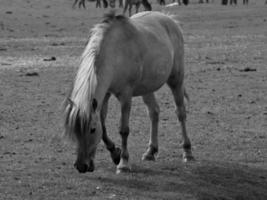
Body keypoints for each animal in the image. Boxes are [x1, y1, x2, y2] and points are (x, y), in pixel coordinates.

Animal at [65, 10, 195, 173]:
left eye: (92, 130)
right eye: (74, 130)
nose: (81, 166)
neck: (115, 53)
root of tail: (169, 19)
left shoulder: (125, 96)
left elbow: (123, 129)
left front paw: (123, 163)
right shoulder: (105, 94)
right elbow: (104, 126)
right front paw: (115, 153)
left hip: (176, 80)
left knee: (180, 113)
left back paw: (187, 152)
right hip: (147, 87)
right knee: (154, 112)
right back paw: (150, 151)